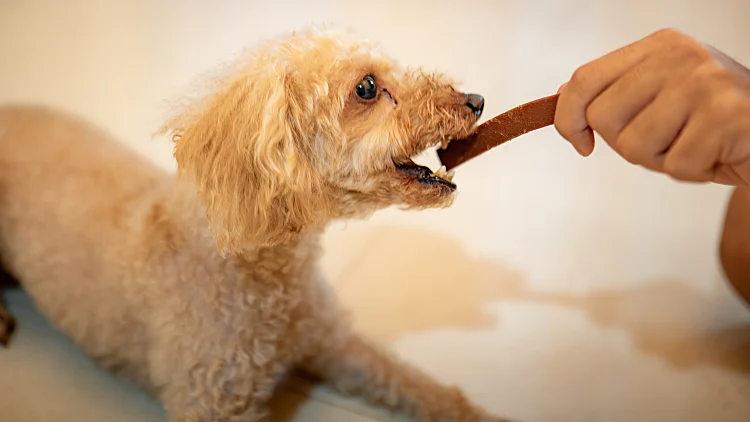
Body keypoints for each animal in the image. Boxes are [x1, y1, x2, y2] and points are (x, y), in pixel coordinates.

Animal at [0, 28, 512, 420]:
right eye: (366, 87)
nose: (477, 100)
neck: (266, 275)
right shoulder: (212, 401)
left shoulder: (332, 341)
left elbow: (410, 381)